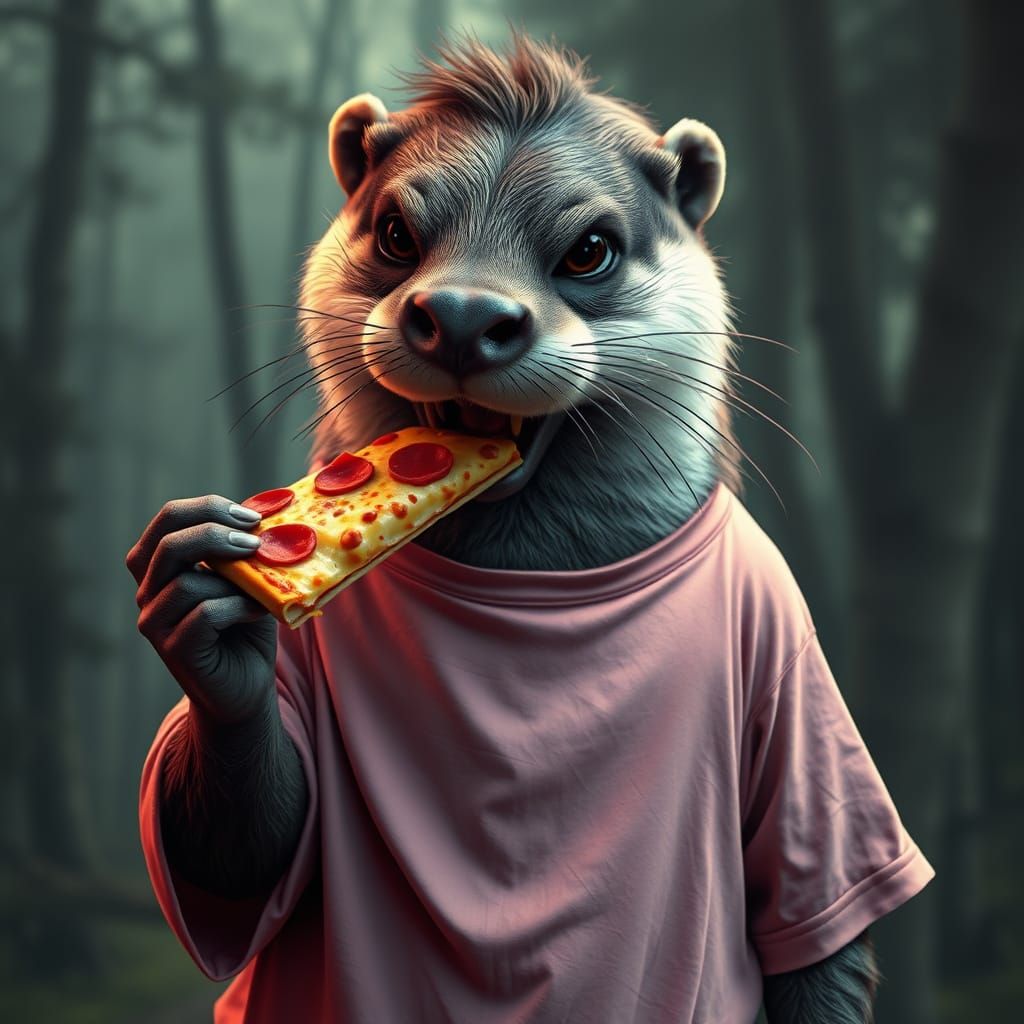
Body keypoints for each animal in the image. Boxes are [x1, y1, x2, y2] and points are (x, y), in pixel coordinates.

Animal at [129, 36, 931, 1024]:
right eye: (395, 233)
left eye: (590, 250)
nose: (465, 317)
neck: (530, 578)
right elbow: (252, 853)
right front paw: (202, 596)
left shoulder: (784, 639)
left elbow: (819, 940)